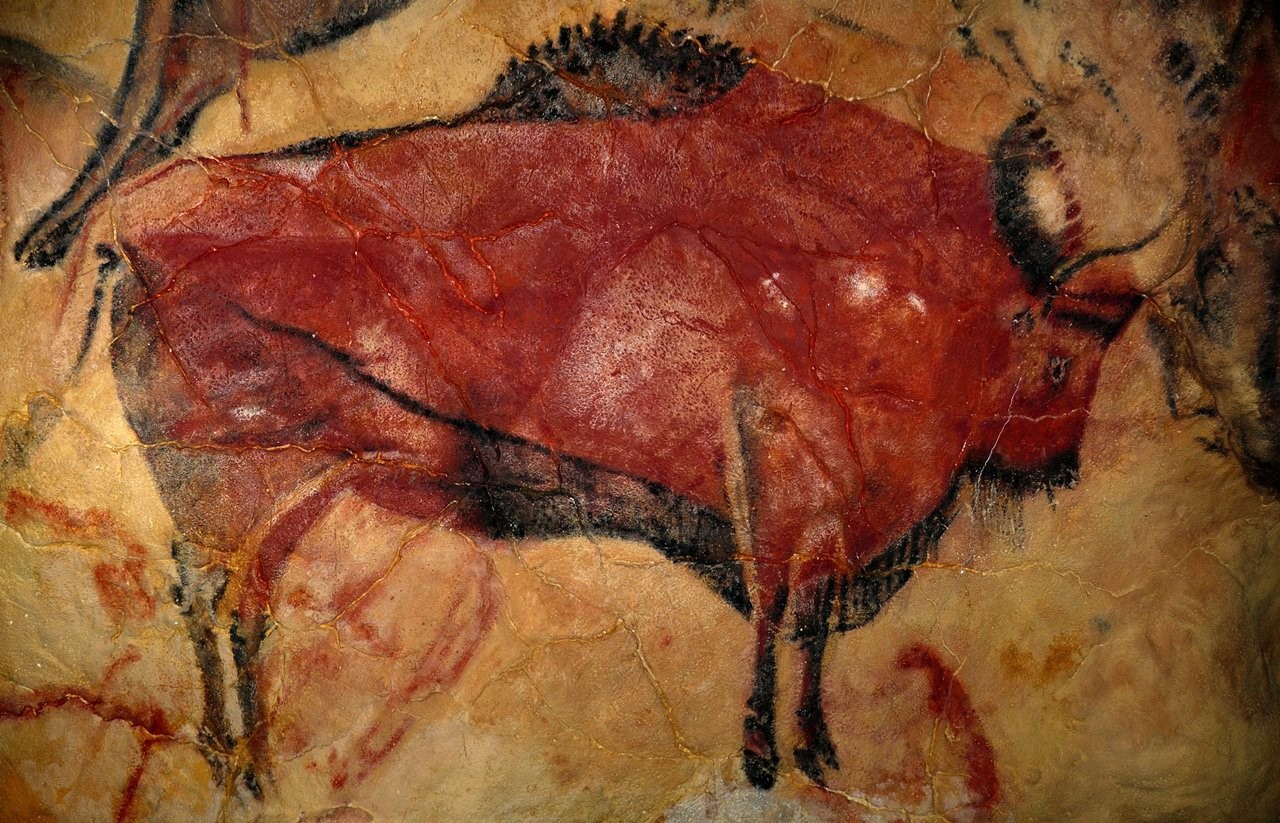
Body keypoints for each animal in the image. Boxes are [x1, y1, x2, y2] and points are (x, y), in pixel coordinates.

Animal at [90, 17, 1152, 793]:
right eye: (1058, 360)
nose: (1061, 468)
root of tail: (130, 226)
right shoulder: (770, 474)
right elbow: (778, 607)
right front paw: (762, 757)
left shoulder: (839, 514)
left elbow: (810, 618)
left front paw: (817, 750)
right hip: (239, 485)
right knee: (218, 596)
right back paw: (245, 767)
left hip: (284, 494)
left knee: (234, 602)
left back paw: (241, 764)